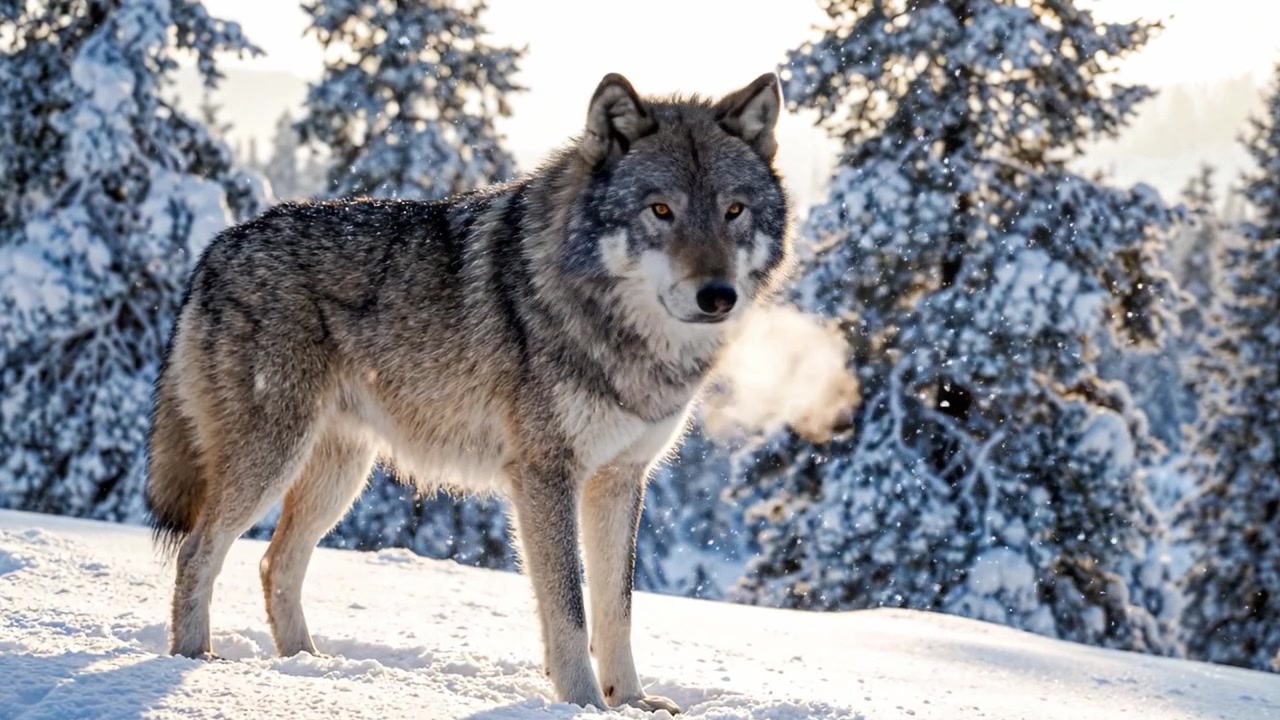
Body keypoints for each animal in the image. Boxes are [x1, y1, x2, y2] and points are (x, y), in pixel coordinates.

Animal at [144, 70, 793, 713]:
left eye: (734, 211)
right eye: (661, 210)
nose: (718, 295)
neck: (622, 336)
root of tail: (216, 247)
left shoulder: (619, 479)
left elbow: (618, 608)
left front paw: (629, 700)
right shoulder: (545, 475)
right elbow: (569, 609)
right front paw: (584, 702)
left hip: (340, 474)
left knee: (275, 562)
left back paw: (309, 665)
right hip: (274, 458)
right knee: (199, 550)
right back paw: (196, 661)